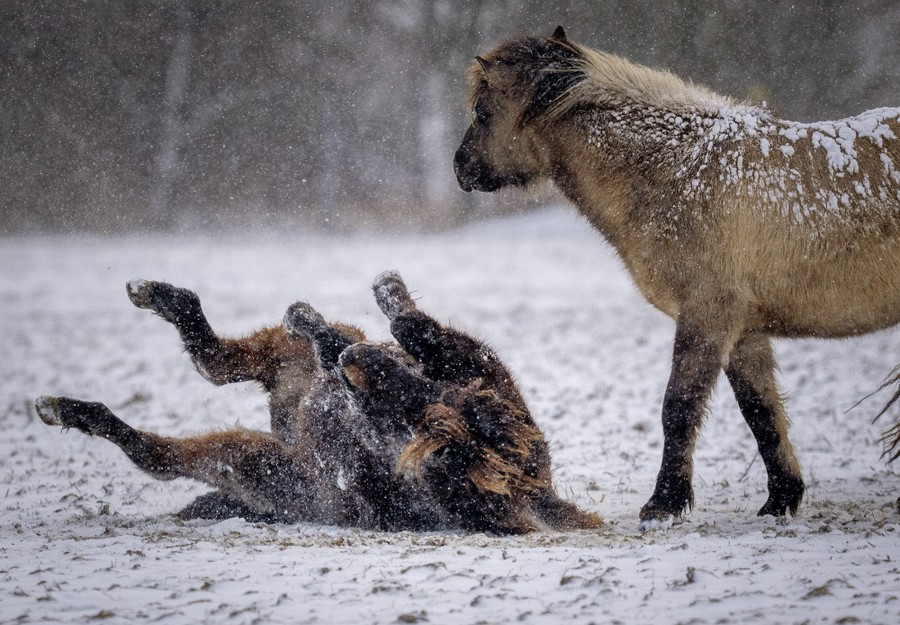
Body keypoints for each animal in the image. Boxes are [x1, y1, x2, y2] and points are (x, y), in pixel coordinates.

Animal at [36, 271, 602, 535]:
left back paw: (66, 408)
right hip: (282, 361)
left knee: (160, 445)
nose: (354, 358)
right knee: (218, 355)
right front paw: (348, 318)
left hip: (251, 456)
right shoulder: (480, 380)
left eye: (415, 437)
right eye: (432, 401)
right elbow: (412, 330)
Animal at [453, 26, 900, 528]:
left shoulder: (707, 314)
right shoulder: (743, 330)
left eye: (483, 112)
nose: (459, 166)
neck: (679, 169)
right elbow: (761, 413)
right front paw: (781, 501)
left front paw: (663, 503)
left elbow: (679, 407)